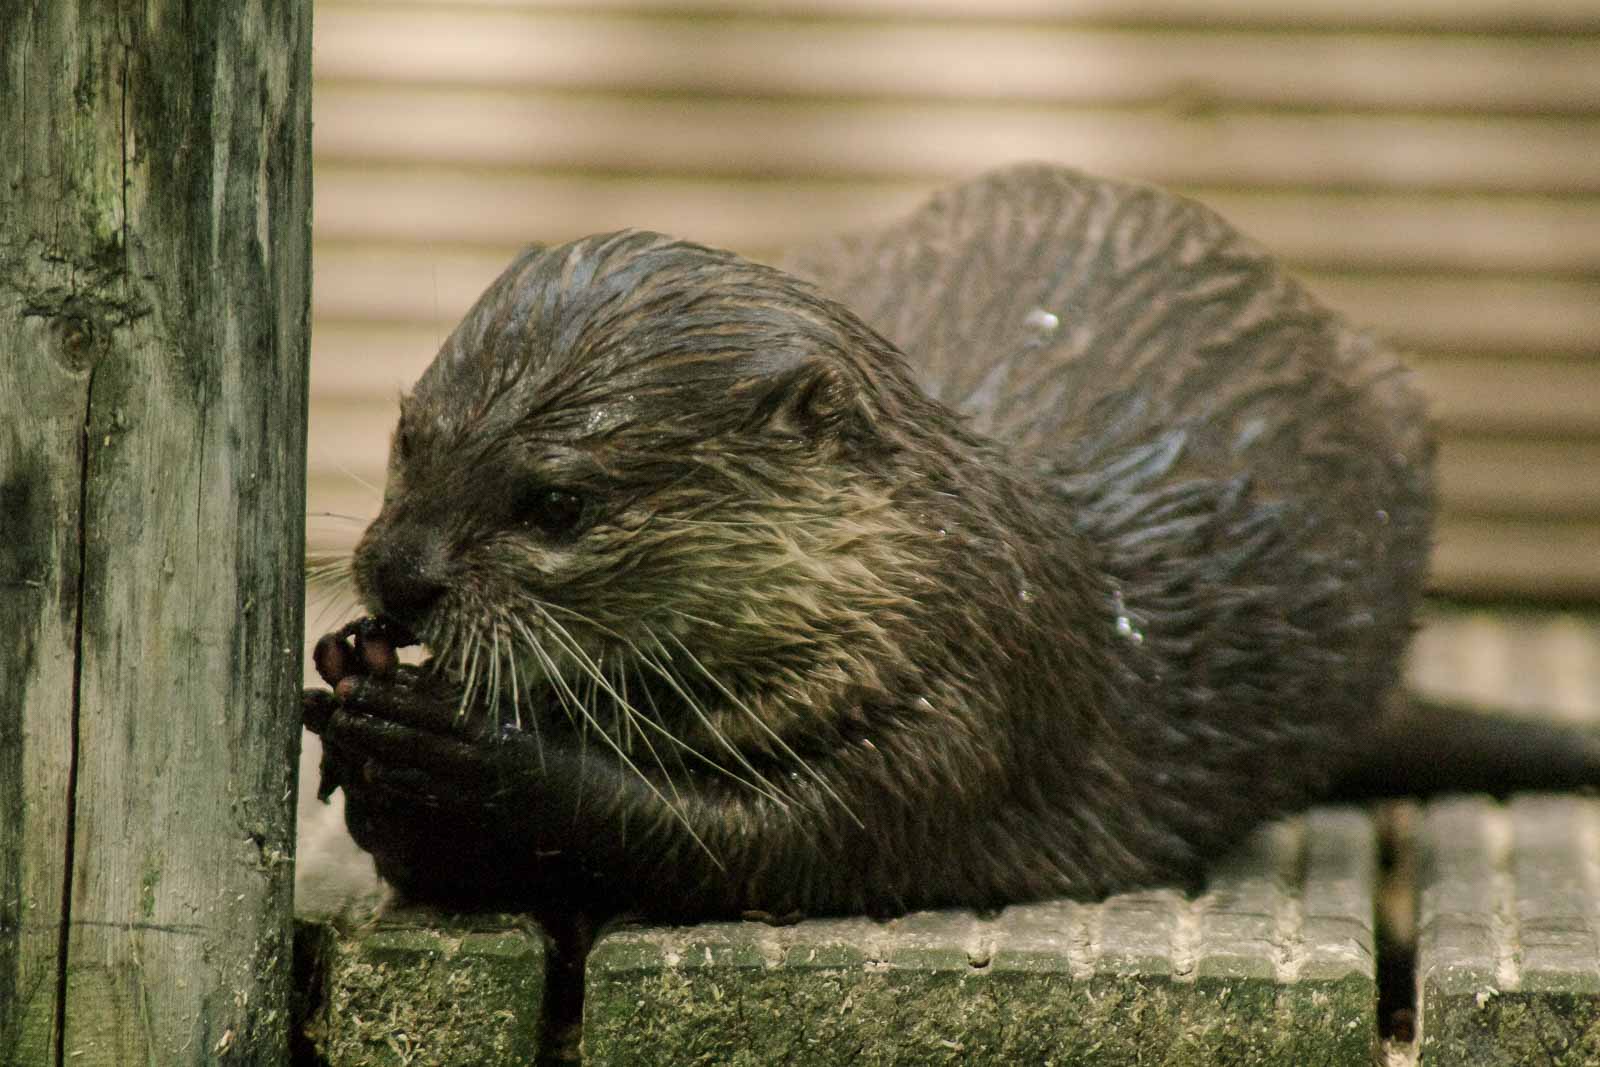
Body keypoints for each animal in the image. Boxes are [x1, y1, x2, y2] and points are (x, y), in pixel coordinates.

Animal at [301, 164, 1591, 920]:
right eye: (408, 436)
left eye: (557, 506)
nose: (400, 575)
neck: (905, 578)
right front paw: (352, 691)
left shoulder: (963, 707)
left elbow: (751, 848)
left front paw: (461, 749)